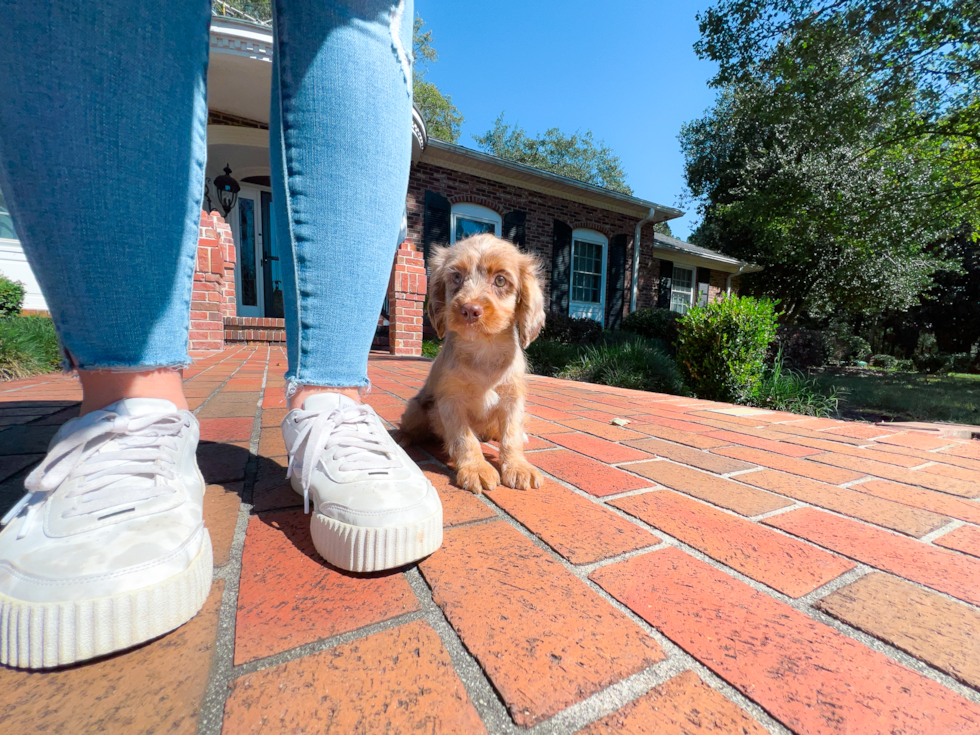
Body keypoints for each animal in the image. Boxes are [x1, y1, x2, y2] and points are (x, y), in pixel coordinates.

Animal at [400, 233, 552, 492]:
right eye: (456, 277)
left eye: (500, 280)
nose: (470, 309)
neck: (483, 348)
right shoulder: (451, 401)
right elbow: (465, 439)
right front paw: (477, 469)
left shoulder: (513, 399)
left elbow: (511, 435)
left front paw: (518, 466)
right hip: (416, 409)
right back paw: (403, 438)